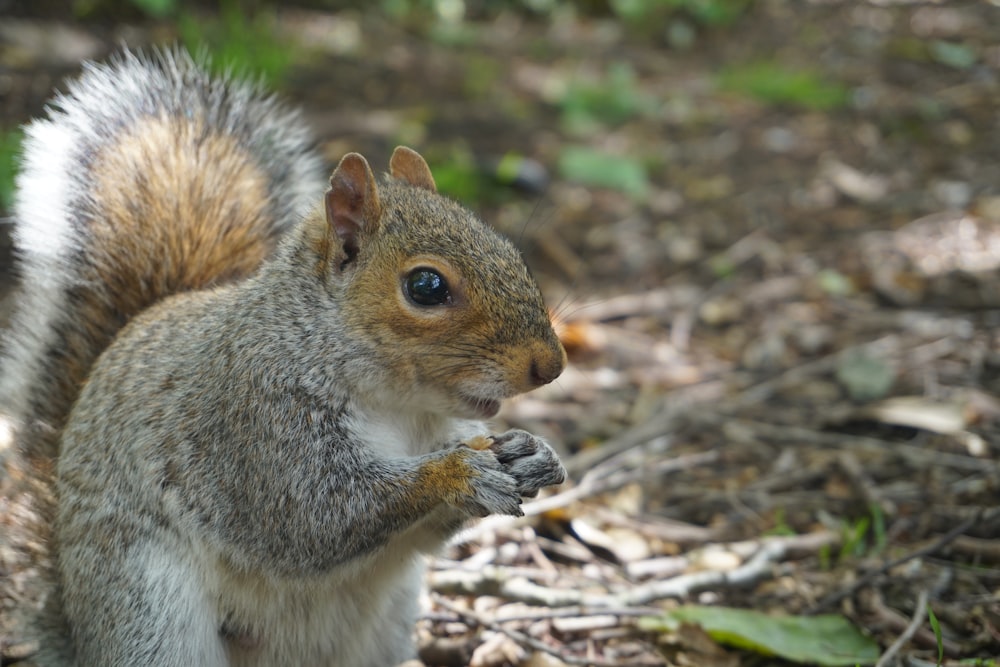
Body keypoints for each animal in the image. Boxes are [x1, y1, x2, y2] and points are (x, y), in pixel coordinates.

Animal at [0, 49, 564, 664]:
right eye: (426, 287)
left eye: (509, 249)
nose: (550, 365)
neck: (399, 406)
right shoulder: (254, 425)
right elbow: (316, 516)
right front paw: (458, 473)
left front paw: (532, 453)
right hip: (146, 608)